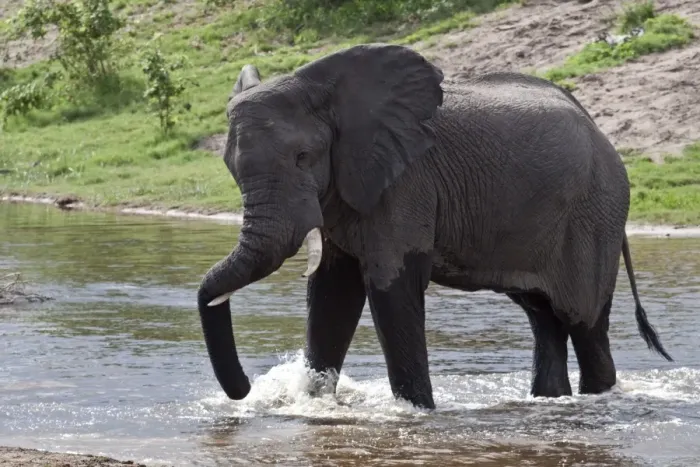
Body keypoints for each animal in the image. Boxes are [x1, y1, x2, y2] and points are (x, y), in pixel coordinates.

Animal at [196, 43, 672, 410]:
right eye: (230, 167)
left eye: (302, 158)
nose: (244, 388)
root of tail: (602, 134)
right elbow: (331, 294)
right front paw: (312, 407)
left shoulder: (406, 181)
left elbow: (391, 289)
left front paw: (417, 413)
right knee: (544, 318)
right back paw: (549, 401)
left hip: (594, 214)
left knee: (584, 323)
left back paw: (597, 398)